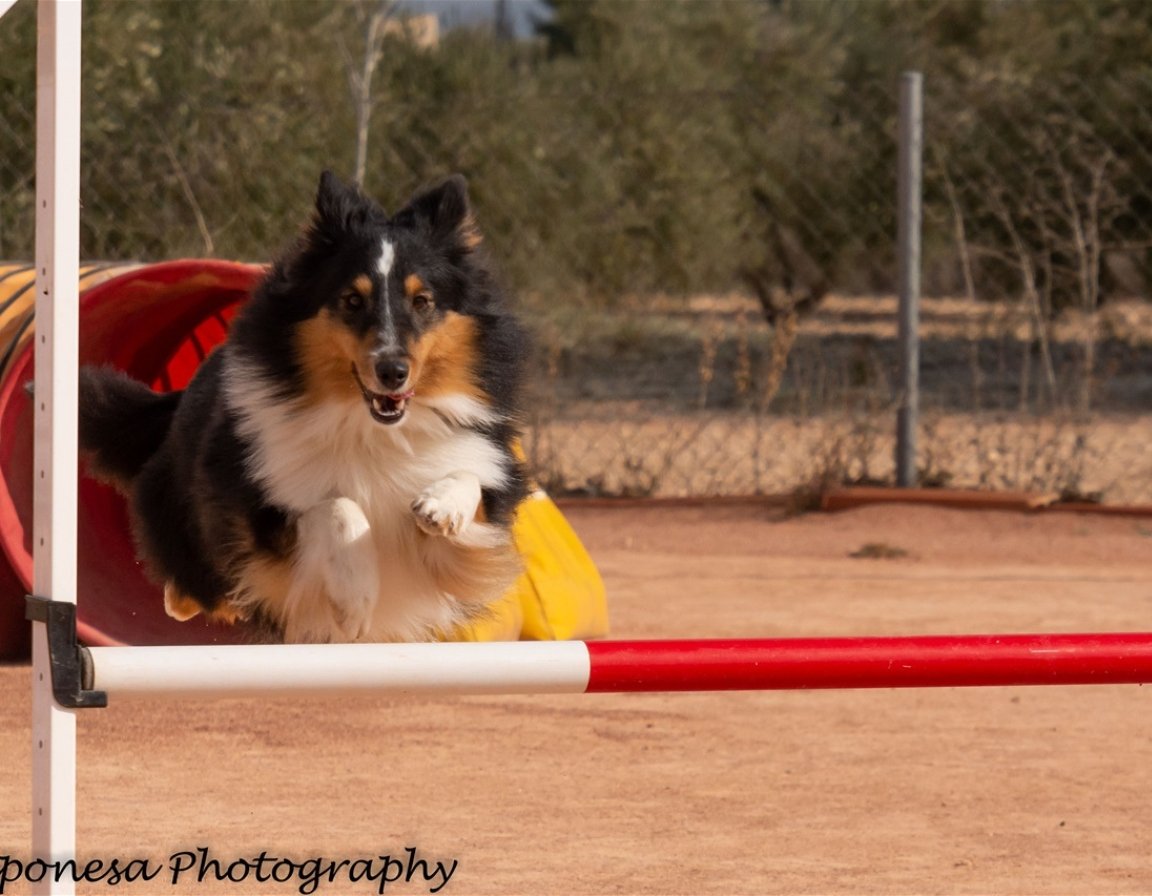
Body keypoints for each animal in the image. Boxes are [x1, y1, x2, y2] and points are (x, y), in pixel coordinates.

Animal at [79, 172, 529, 643]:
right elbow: (336, 506)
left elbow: (470, 480)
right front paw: (355, 600)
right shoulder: (262, 513)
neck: (371, 428)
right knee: (194, 581)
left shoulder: (476, 507)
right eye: (352, 300)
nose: (392, 371)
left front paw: (441, 507)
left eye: (422, 301)